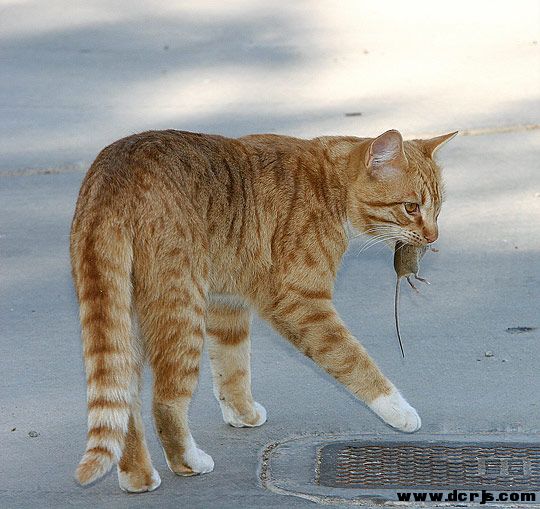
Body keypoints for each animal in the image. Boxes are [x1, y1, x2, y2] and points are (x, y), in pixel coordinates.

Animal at [70, 128, 457, 492]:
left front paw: (241, 412)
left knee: (126, 399)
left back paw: (137, 475)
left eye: (437, 210)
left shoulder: (227, 304)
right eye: (411, 207)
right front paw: (399, 411)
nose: (433, 237)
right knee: (163, 402)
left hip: (125, 316)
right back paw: (188, 461)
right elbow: (353, 360)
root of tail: (115, 171)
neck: (328, 184)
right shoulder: (301, 303)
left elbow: (233, 367)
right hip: (182, 309)